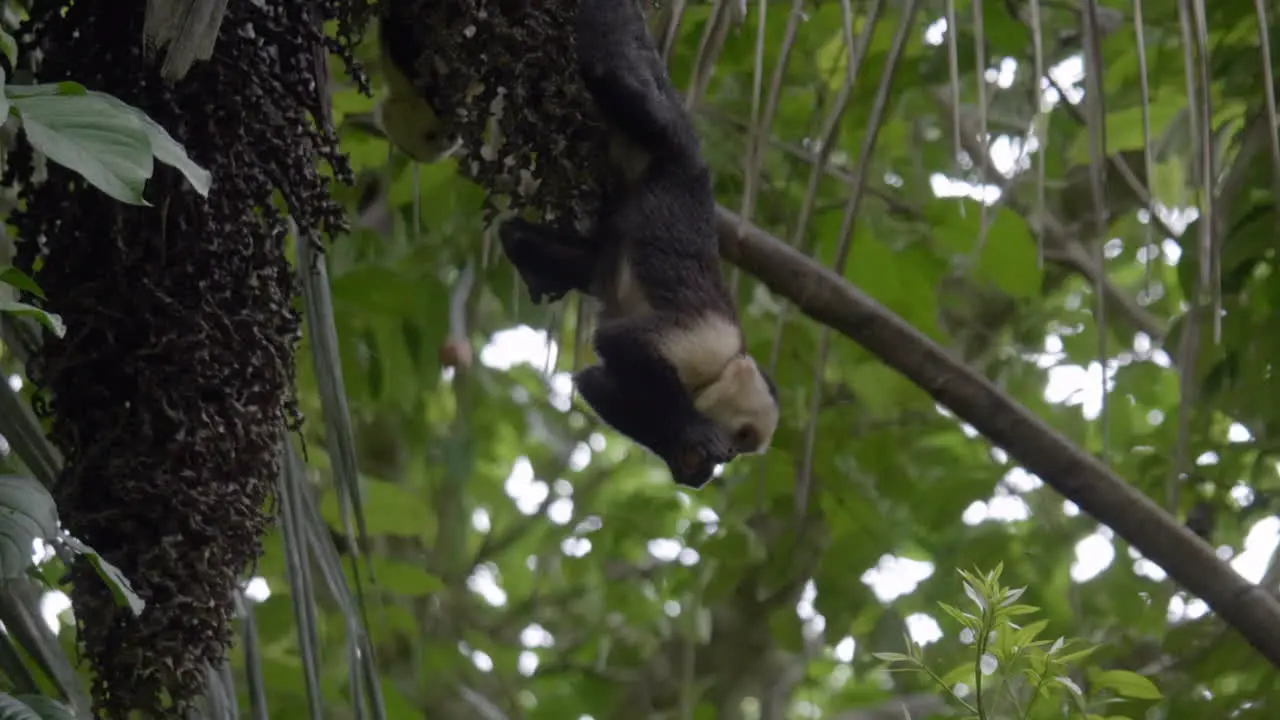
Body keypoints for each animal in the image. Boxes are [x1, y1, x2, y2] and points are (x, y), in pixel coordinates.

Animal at [499, 0, 778, 486]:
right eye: (742, 437)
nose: (728, 458)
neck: (726, 366)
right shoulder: (708, 345)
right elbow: (620, 343)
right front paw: (694, 433)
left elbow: (595, 381)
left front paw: (683, 455)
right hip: (668, 137)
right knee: (617, 78)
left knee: (594, 260)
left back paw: (526, 250)